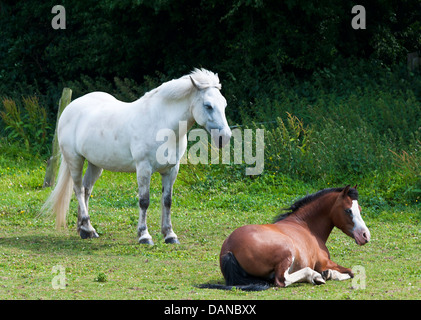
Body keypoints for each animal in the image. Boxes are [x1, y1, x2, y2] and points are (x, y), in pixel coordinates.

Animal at [42, 69, 230, 244]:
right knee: (79, 190)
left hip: (95, 164)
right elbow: (144, 201)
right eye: (208, 105)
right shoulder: (144, 168)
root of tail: (70, 108)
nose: (225, 137)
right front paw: (144, 236)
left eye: (224, 104)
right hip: (75, 159)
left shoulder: (171, 170)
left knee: (87, 190)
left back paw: (84, 229)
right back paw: (88, 228)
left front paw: (170, 235)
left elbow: (167, 201)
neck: (160, 123)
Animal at [199, 184, 370, 292]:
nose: (365, 235)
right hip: (286, 252)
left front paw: (327, 275)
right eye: (348, 210)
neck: (305, 225)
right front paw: (326, 275)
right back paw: (314, 276)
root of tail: (228, 249)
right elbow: (350, 272)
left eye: (360, 209)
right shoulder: (324, 262)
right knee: (283, 280)